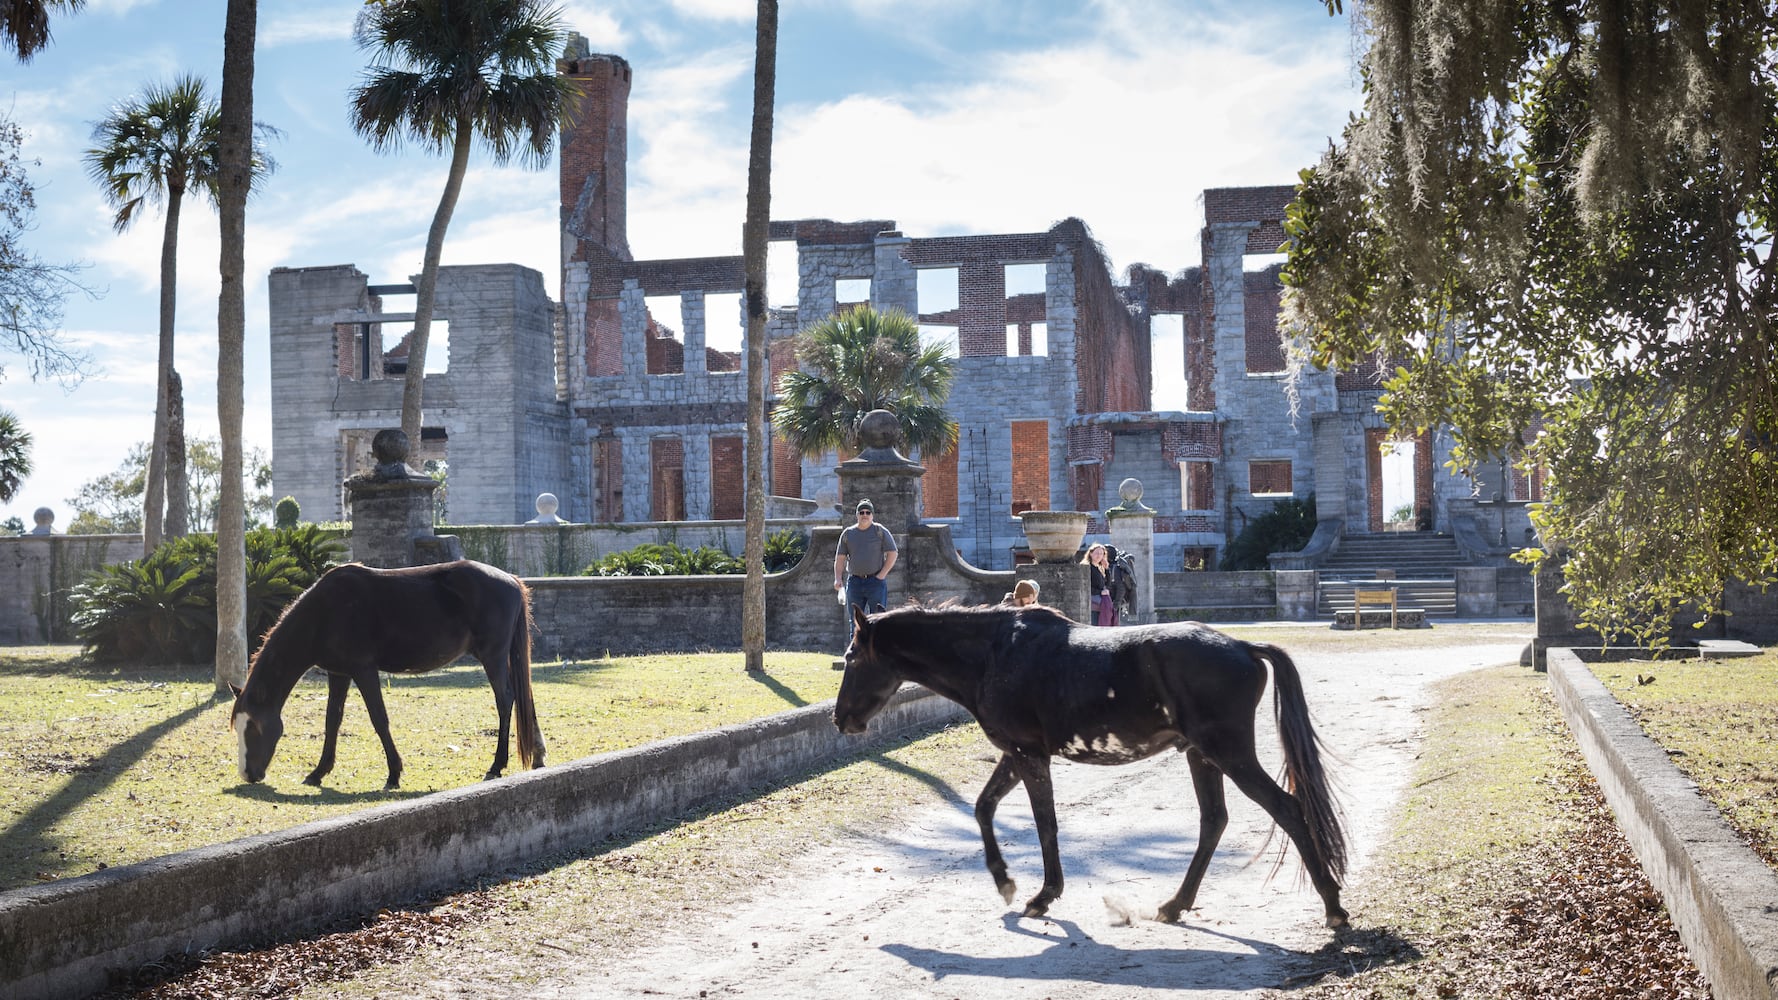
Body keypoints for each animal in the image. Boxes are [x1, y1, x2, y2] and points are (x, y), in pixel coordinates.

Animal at [232, 562, 544, 786]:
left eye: (254, 727)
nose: (248, 773)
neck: (324, 612)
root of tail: (511, 580)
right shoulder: (339, 674)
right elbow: (332, 720)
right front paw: (318, 772)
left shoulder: (364, 670)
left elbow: (379, 719)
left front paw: (394, 773)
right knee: (523, 697)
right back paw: (538, 755)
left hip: (493, 657)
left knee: (505, 700)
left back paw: (497, 764)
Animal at [832, 597, 1344, 925]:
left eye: (852, 657)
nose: (840, 719)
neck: (995, 654)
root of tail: (1243, 647)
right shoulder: (1018, 753)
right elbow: (983, 807)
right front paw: (1003, 879)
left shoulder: (1029, 755)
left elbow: (1045, 824)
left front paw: (1043, 894)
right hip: (1203, 755)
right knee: (1214, 821)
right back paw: (1175, 904)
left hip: (1229, 753)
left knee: (1287, 809)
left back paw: (1333, 906)